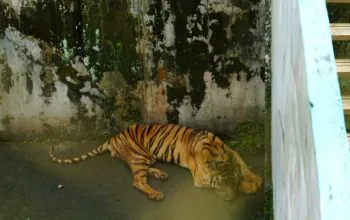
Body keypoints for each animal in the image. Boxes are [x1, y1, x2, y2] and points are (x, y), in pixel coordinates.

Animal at [49, 124, 262, 201]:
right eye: (221, 184)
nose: (230, 199)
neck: (218, 153)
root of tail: (114, 137)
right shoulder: (200, 177)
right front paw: (248, 187)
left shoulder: (232, 153)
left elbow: (244, 167)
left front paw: (255, 180)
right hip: (139, 157)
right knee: (137, 181)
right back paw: (155, 194)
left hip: (147, 157)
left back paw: (161, 174)